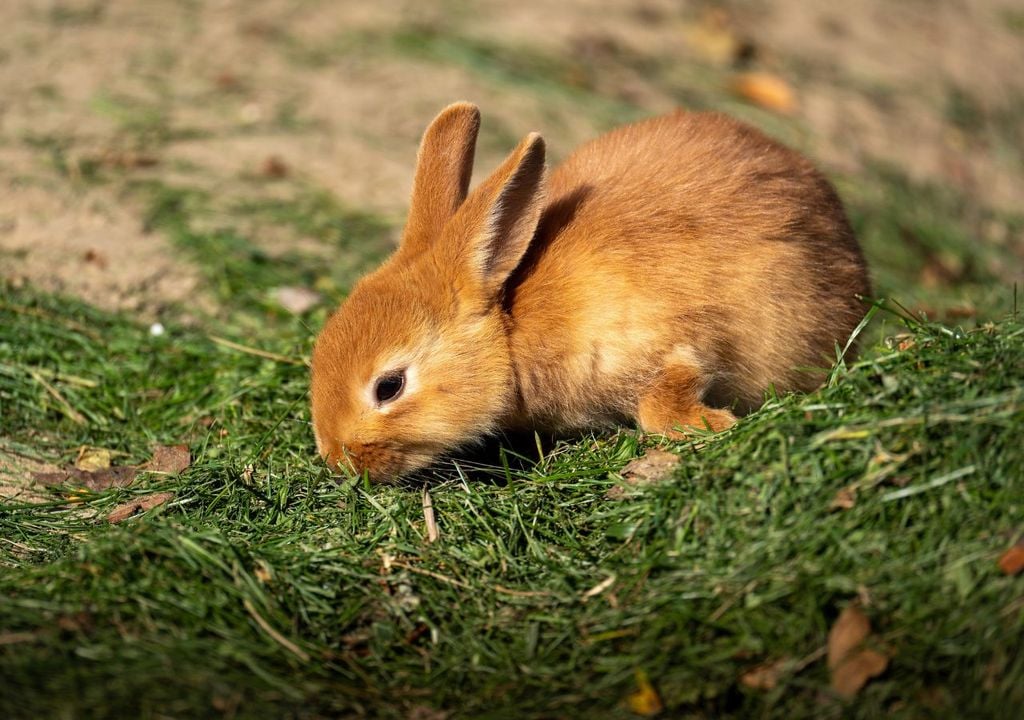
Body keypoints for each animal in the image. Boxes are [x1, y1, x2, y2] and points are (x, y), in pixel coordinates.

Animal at [311, 102, 870, 482]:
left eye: (389, 387)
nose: (339, 461)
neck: (512, 330)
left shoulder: (670, 343)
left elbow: (663, 401)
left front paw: (714, 424)